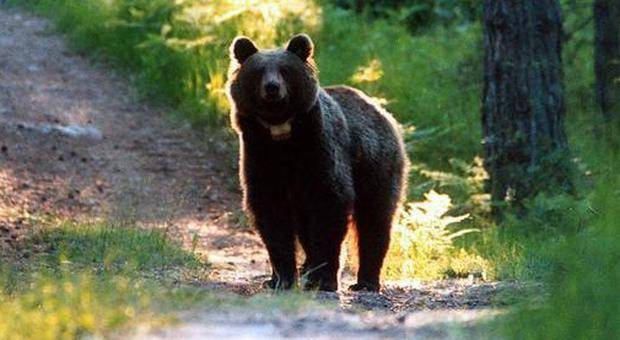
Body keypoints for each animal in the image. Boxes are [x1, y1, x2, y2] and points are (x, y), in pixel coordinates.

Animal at [226, 33, 406, 290]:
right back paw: (306, 269)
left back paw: (366, 281)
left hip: (376, 164)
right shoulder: (260, 155)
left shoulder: (319, 151)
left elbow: (330, 205)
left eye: (285, 70)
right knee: (305, 226)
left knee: (375, 218)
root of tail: (381, 111)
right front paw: (281, 278)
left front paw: (324, 279)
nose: (272, 88)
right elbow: (271, 215)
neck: (282, 135)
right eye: (259, 71)